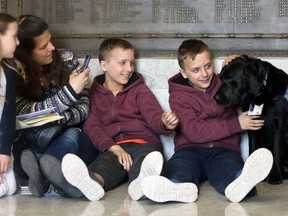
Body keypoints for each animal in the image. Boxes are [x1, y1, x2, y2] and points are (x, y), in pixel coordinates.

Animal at [215, 55, 288, 184]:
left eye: (230, 79)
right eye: (221, 78)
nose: (215, 98)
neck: (259, 96)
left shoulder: (279, 124)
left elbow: (277, 150)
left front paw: (275, 176)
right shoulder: (252, 125)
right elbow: (252, 149)